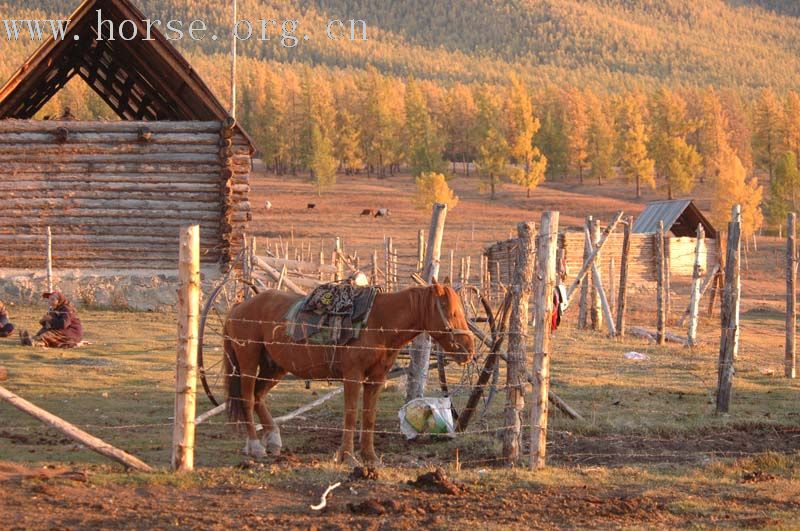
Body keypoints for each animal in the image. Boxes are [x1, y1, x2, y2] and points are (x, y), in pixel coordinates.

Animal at [223, 284, 476, 464]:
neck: (378, 322)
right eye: (452, 312)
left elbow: (369, 417)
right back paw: (255, 446)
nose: (469, 348)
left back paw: (273, 441)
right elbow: (351, 415)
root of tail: (239, 307)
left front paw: (370, 457)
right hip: (248, 363)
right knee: (247, 399)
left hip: (274, 367)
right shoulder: (352, 376)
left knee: (258, 396)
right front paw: (347, 456)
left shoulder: (376, 379)